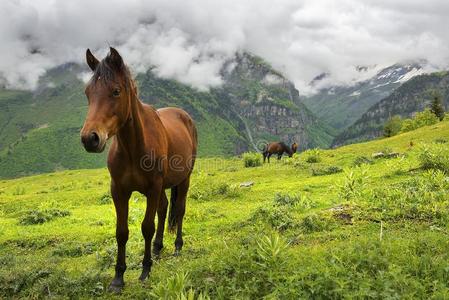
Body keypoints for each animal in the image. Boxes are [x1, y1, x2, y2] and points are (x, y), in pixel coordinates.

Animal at [79, 47, 198, 292]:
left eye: (116, 91)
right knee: (164, 208)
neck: (133, 146)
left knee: (179, 209)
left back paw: (177, 246)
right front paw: (118, 277)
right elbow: (121, 231)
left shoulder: (152, 188)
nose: (89, 138)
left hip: (184, 180)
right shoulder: (119, 191)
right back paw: (157, 249)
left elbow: (146, 227)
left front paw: (145, 271)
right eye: (88, 92)